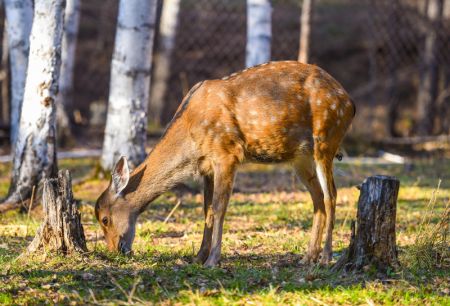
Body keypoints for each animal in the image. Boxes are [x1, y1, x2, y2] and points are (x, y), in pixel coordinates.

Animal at [95, 61, 356, 266]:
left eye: (105, 219)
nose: (115, 251)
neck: (190, 132)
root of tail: (350, 103)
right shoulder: (206, 166)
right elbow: (207, 209)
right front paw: (198, 257)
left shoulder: (227, 152)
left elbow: (220, 207)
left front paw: (213, 259)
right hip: (300, 157)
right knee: (317, 197)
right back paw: (307, 256)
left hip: (326, 138)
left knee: (331, 195)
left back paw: (325, 257)